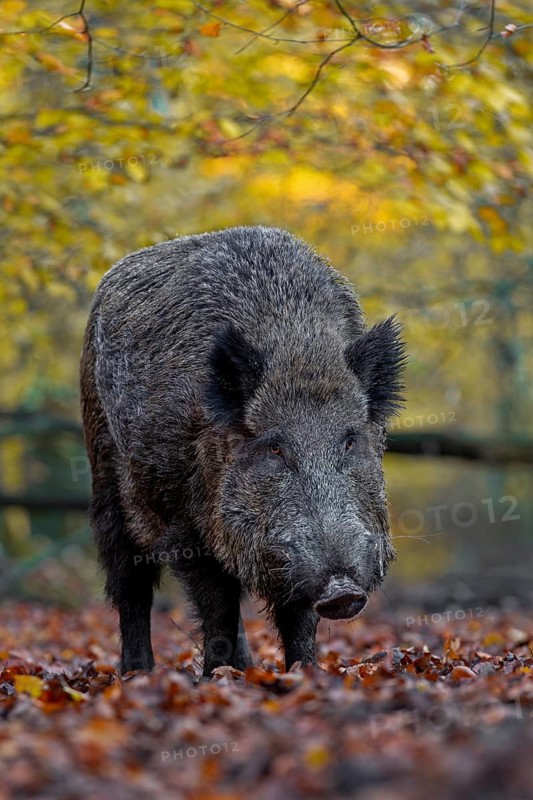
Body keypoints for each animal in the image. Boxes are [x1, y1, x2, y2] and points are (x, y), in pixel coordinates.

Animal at [80, 226, 406, 675]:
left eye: (350, 440)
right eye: (274, 447)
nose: (342, 591)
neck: (297, 350)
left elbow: (296, 617)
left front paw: (305, 672)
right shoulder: (182, 523)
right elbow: (216, 604)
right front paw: (215, 679)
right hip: (105, 472)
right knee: (130, 583)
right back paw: (137, 674)